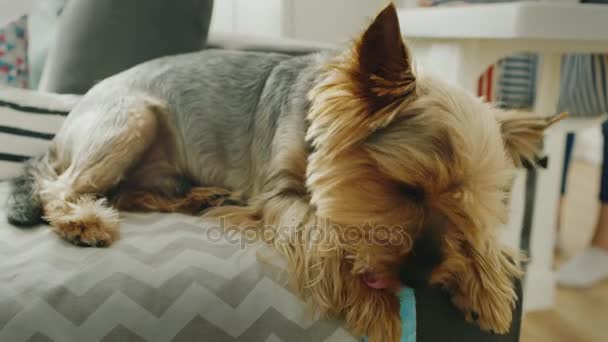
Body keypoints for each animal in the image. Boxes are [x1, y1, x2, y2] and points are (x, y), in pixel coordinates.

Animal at [7, 3, 564, 342]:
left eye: (468, 207)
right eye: (404, 187)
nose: (421, 276)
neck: (317, 117)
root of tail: (63, 129)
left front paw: (486, 280)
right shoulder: (281, 194)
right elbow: (323, 234)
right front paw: (376, 303)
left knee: (129, 191)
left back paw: (196, 197)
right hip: (132, 119)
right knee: (64, 186)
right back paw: (82, 219)